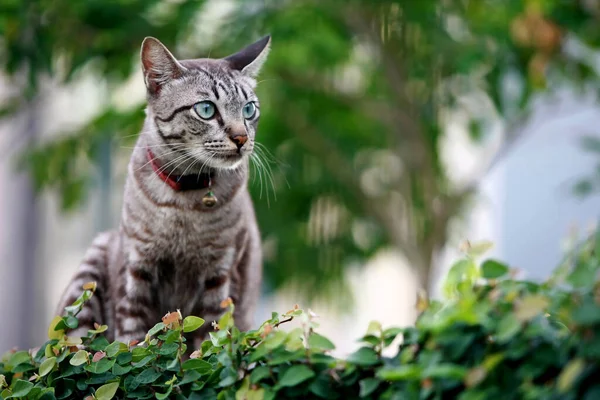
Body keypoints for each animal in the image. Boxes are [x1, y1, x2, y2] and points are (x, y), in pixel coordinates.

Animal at [55, 34, 270, 348]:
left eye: (249, 109)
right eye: (206, 109)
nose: (241, 138)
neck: (185, 200)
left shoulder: (222, 274)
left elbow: (210, 340)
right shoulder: (137, 267)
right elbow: (132, 339)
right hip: (90, 271)